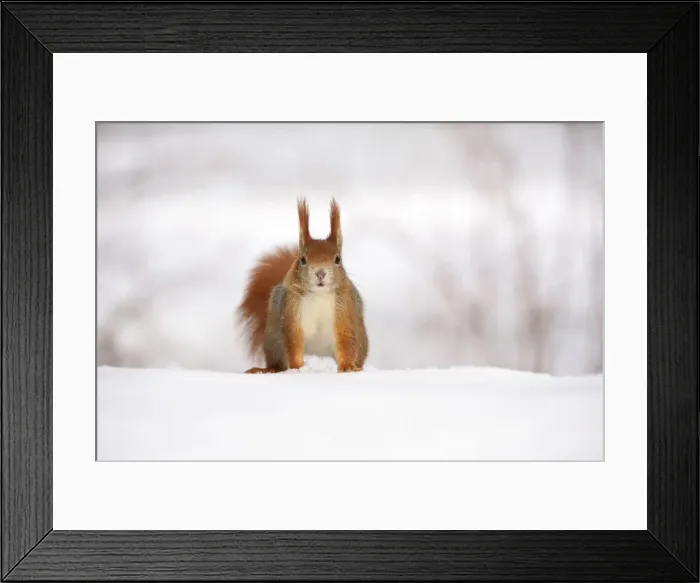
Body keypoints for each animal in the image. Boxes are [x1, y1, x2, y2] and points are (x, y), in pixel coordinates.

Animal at [237, 198, 369, 374]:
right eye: (303, 259)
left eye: (338, 259)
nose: (320, 273)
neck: (319, 294)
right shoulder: (291, 309)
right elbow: (293, 340)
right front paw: (298, 368)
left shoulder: (345, 308)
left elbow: (346, 339)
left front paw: (348, 367)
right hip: (273, 340)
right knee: (278, 362)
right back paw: (268, 369)